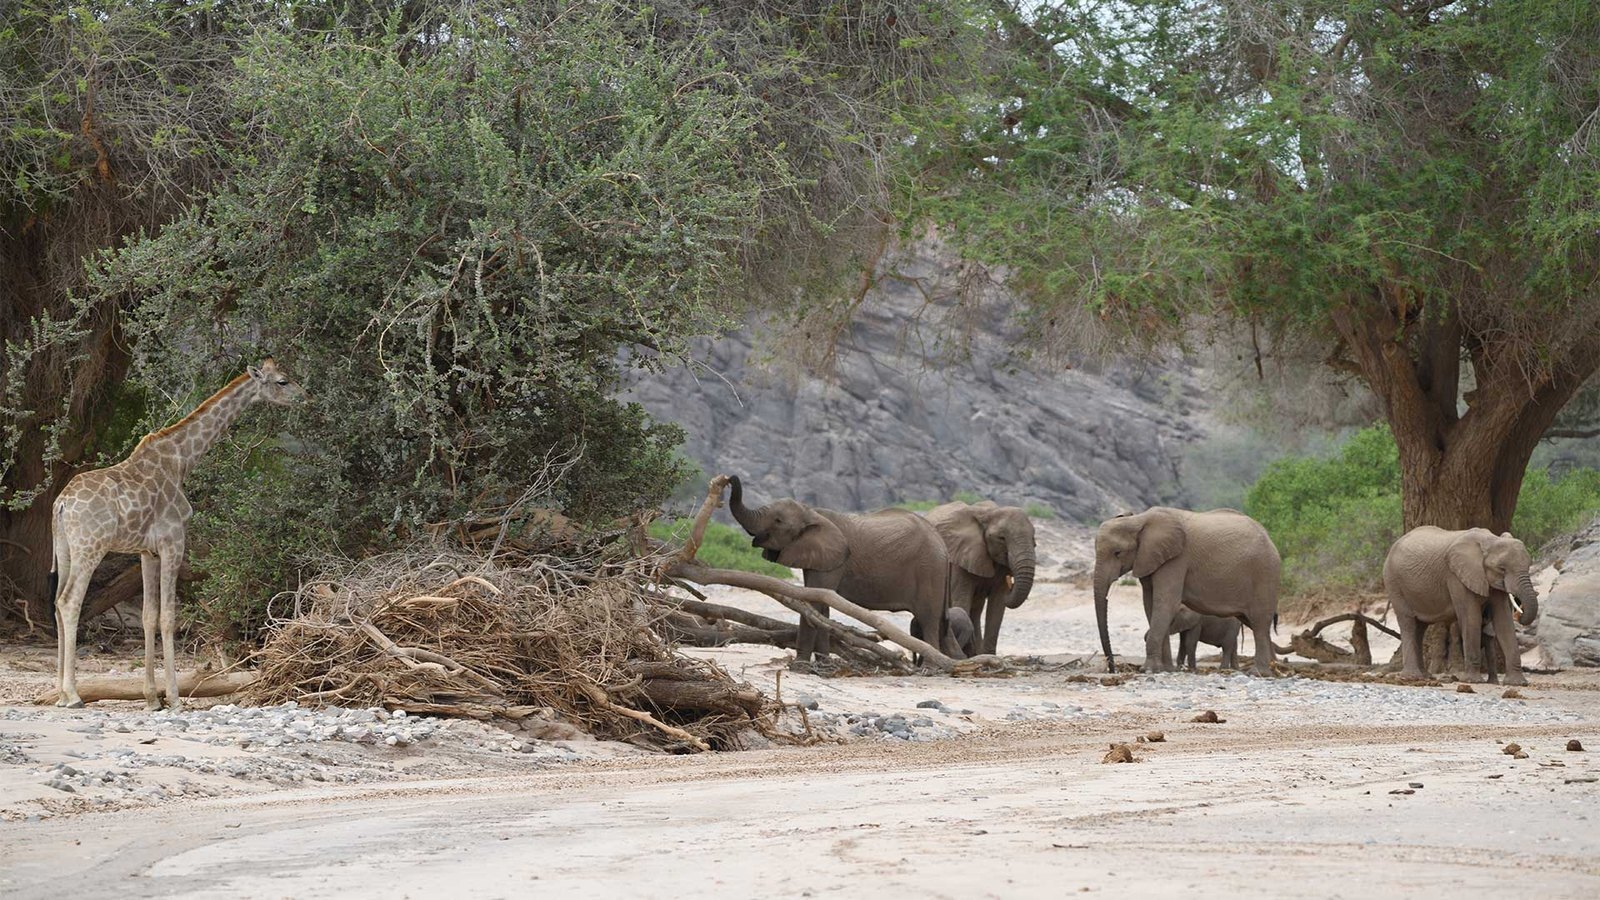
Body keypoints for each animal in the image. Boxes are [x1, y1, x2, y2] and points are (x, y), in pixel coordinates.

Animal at [727, 476, 962, 664]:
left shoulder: (835, 560)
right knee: (941, 625)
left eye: (778, 521)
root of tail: (942, 544)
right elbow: (821, 605)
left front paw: (799, 665)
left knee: (929, 620)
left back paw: (931, 667)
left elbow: (814, 603)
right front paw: (823, 663)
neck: (812, 512)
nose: (728, 479)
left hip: (929, 571)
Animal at [923, 500, 1037, 655]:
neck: (989, 513)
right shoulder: (960, 557)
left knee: (976, 611)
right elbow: (962, 599)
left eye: (1033, 539)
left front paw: (988, 655)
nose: (1011, 583)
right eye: (1001, 538)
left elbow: (997, 605)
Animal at [1093, 507, 1281, 675]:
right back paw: (1272, 672)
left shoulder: (1176, 560)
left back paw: (1258, 673)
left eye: (1117, 552)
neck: (1139, 519)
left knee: (1259, 623)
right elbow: (1150, 605)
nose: (1112, 670)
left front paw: (1148, 670)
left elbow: (1165, 603)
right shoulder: (1150, 560)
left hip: (1264, 574)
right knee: (1256, 625)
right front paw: (1165, 670)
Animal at [1382, 527, 1539, 685]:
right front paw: (1473, 681)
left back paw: (1424, 676)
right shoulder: (1456, 577)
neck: (1490, 540)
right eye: (1502, 569)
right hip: (1394, 582)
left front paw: (1517, 683)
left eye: (1528, 565)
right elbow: (1471, 618)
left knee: (1420, 627)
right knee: (1408, 623)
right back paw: (1412, 676)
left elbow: (1503, 621)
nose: (1520, 613)